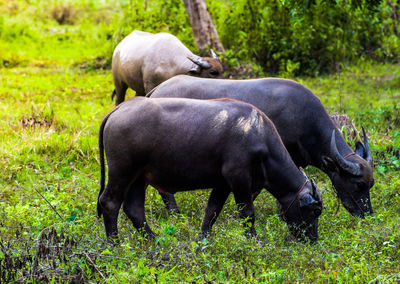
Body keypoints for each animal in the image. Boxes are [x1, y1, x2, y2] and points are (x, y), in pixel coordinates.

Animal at [98, 97, 324, 242]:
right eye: (315, 211)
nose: (313, 239)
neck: (259, 137)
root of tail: (118, 110)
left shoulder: (223, 184)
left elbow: (211, 212)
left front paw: (201, 241)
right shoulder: (238, 177)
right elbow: (247, 213)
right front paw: (254, 242)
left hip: (139, 177)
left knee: (134, 209)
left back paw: (154, 241)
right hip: (122, 172)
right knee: (109, 202)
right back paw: (115, 244)